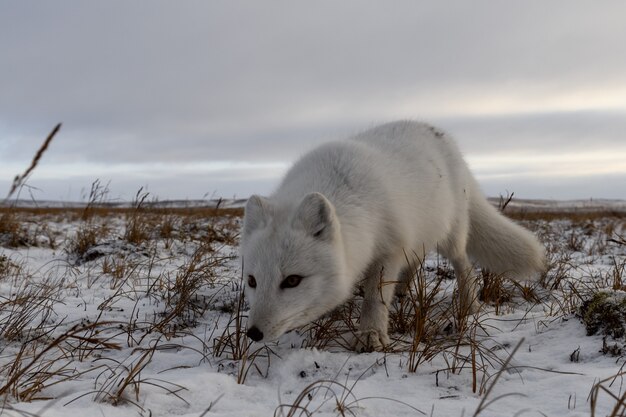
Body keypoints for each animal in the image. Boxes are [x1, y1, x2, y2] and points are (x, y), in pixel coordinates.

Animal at [239, 120, 540, 352]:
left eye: (292, 280)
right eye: (252, 281)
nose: (253, 333)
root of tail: (446, 138)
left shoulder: (390, 249)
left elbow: (375, 296)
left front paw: (371, 336)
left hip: (450, 236)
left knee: (464, 266)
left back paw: (470, 305)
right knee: (417, 260)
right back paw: (403, 291)